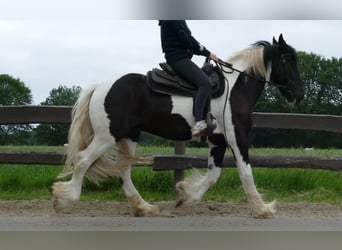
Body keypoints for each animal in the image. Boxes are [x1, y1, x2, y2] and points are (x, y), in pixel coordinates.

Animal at [52, 34, 304, 219]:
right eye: (288, 59)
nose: (299, 95)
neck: (235, 87)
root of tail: (100, 87)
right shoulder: (237, 138)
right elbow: (246, 173)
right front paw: (263, 209)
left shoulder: (218, 142)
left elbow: (213, 175)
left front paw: (186, 196)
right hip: (107, 136)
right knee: (83, 160)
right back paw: (64, 200)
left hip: (128, 137)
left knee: (123, 171)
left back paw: (143, 207)